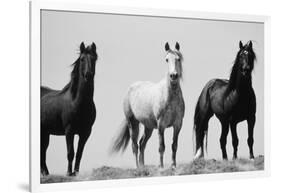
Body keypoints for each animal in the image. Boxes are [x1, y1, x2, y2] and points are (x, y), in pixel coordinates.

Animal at [40, 42, 97, 176]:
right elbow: (70, 153)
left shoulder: (86, 132)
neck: (77, 102)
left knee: (43, 151)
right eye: (82, 59)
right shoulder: (69, 131)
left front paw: (75, 173)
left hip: (45, 133)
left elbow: (79, 154)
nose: (88, 75)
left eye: (94, 59)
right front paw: (68, 173)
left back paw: (46, 173)